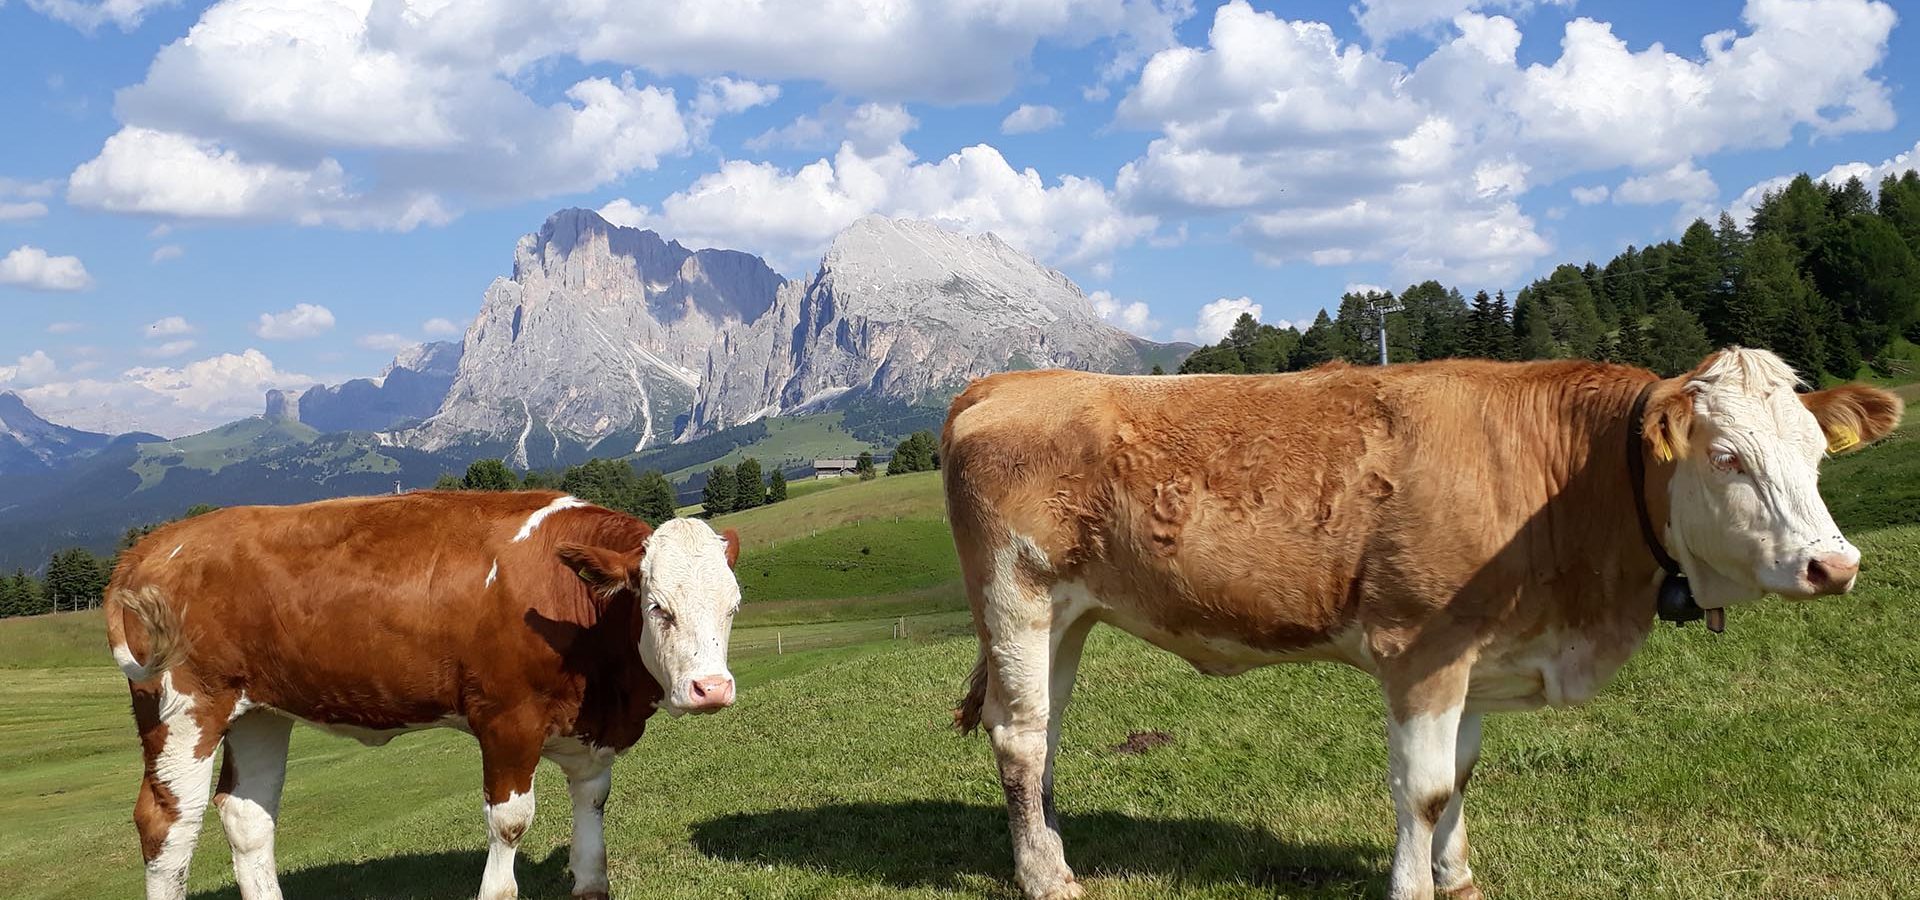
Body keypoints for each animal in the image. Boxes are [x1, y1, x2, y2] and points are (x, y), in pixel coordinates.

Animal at [103, 491, 748, 898]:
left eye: (733, 606)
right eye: (658, 607)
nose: (712, 688)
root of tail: (153, 544)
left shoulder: (589, 732)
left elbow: (591, 811)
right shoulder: (506, 719)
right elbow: (511, 823)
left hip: (259, 710)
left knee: (247, 814)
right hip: (184, 707)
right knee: (168, 823)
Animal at [936, 349, 1896, 898]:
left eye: (1817, 453)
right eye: (1728, 458)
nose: (1834, 565)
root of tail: (1005, 383)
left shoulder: (1475, 658)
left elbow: (1460, 780)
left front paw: (1459, 879)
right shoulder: (1422, 649)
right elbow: (1424, 790)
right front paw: (1415, 886)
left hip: (1070, 616)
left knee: (1044, 734)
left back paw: (1052, 856)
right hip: (1015, 595)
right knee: (1019, 737)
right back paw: (1047, 881)